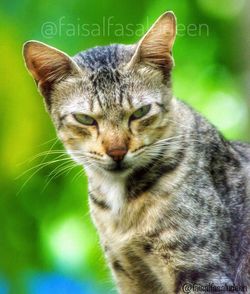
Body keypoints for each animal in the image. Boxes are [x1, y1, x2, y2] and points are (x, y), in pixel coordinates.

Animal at [22, 11, 249, 294]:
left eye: (140, 112)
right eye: (85, 119)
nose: (117, 150)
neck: (120, 208)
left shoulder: (204, 273)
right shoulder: (130, 275)